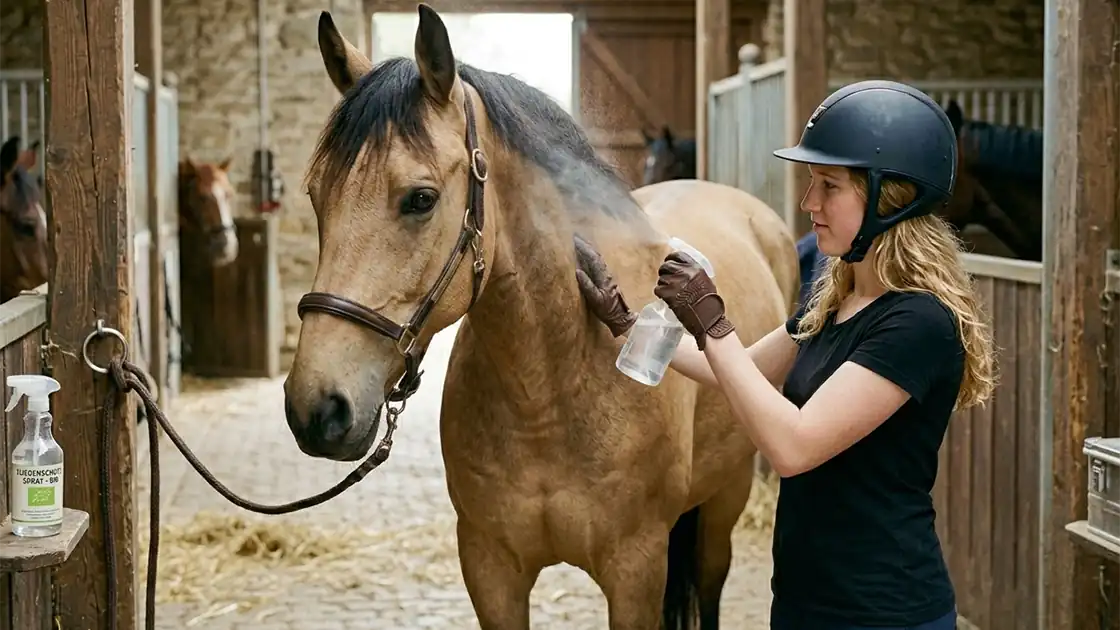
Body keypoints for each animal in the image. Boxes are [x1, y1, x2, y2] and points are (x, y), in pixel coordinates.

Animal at [282, 6, 799, 629]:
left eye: (420, 199)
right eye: (317, 196)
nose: (316, 408)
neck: (551, 387)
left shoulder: (636, 572)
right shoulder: (490, 569)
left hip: (724, 502)